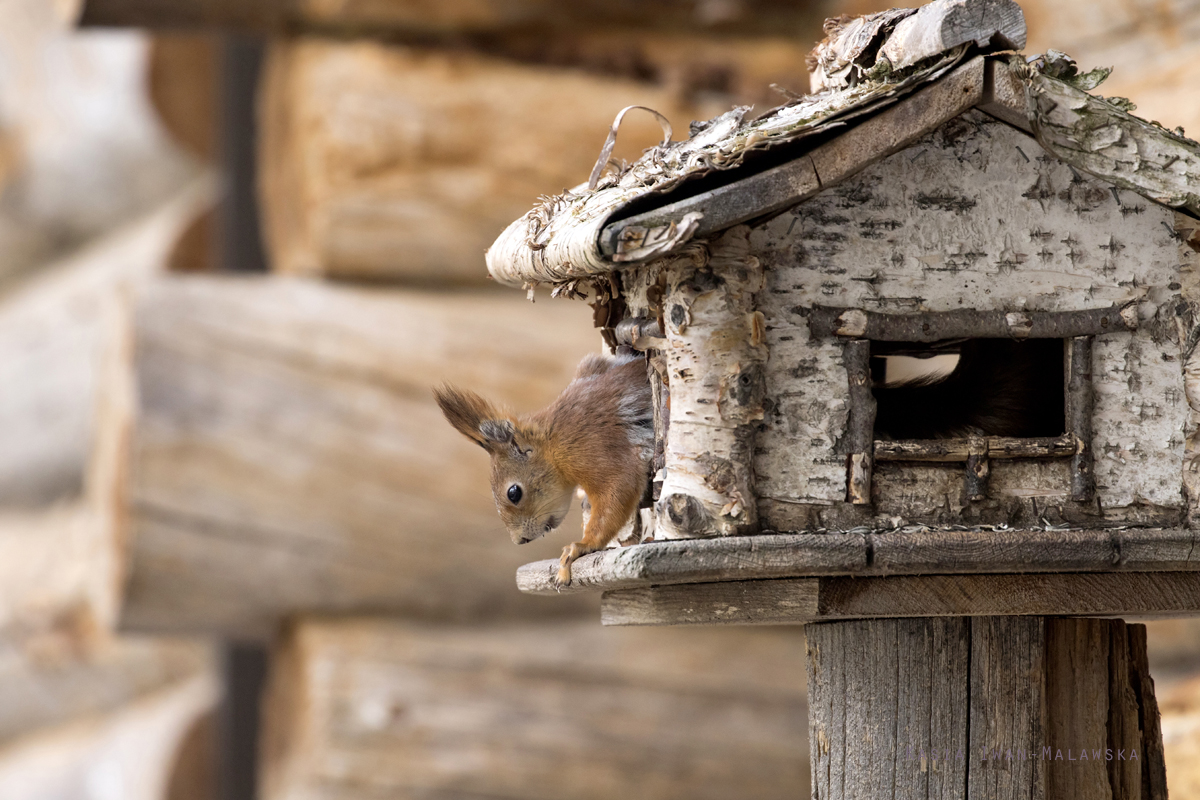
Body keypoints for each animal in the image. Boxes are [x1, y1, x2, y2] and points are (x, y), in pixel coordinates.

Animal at [436, 352, 652, 585]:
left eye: (514, 493)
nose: (520, 540)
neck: (551, 441)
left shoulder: (593, 447)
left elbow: (619, 486)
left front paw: (582, 546)